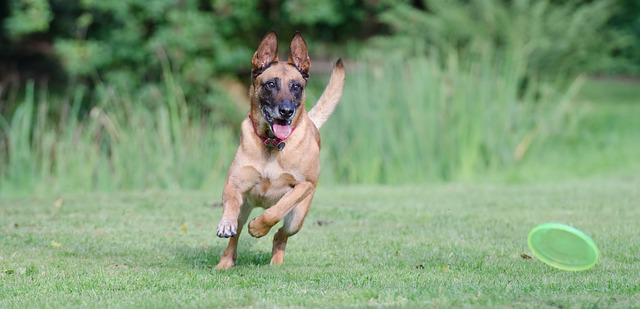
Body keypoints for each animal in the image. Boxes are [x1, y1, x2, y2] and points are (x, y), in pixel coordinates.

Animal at [215, 30, 344, 268]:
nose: (286, 111)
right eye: (271, 84)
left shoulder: (304, 186)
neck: (272, 145)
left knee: (280, 234)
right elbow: (230, 203)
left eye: (296, 86)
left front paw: (258, 227)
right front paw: (225, 223)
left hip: (297, 219)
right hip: (245, 208)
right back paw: (225, 263)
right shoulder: (235, 183)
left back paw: (275, 262)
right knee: (235, 237)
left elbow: (278, 209)